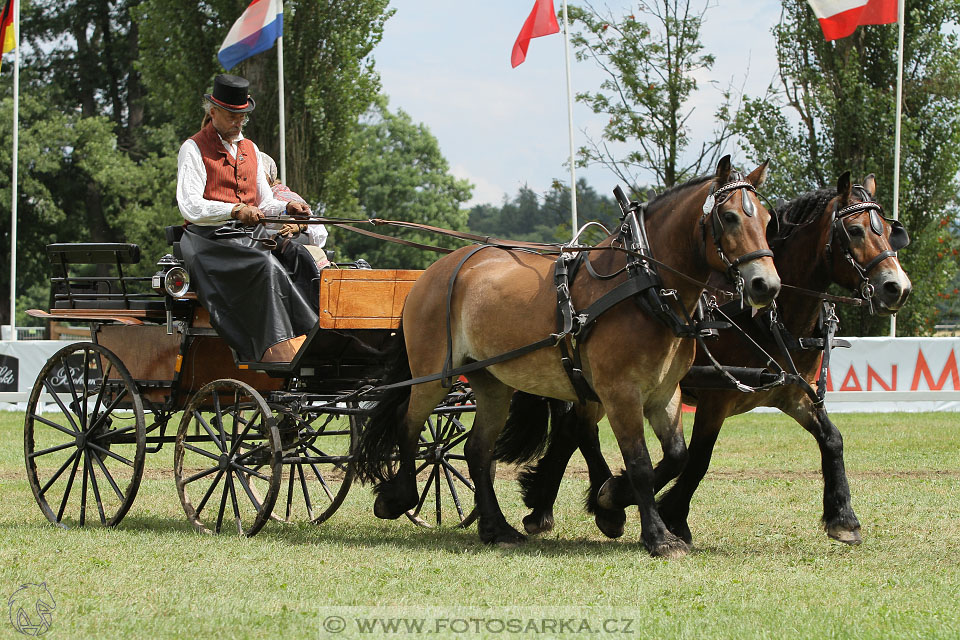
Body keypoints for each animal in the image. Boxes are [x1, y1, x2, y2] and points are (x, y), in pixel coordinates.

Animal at [356, 158, 784, 556]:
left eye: (767, 220)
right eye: (728, 217)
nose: (766, 285)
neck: (646, 287)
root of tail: (434, 271)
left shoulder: (665, 394)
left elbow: (677, 457)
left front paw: (612, 498)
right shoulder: (620, 393)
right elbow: (641, 465)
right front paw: (657, 535)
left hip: (491, 382)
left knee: (477, 450)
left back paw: (497, 528)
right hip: (433, 373)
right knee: (408, 422)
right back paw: (397, 498)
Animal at [498, 172, 912, 548]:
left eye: (890, 231)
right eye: (855, 231)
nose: (898, 288)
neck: (765, 317)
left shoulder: (792, 392)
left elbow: (832, 438)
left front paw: (843, 518)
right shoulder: (716, 398)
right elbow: (698, 458)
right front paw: (669, 515)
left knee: (572, 431)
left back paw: (548, 506)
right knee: (580, 430)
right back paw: (598, 504)